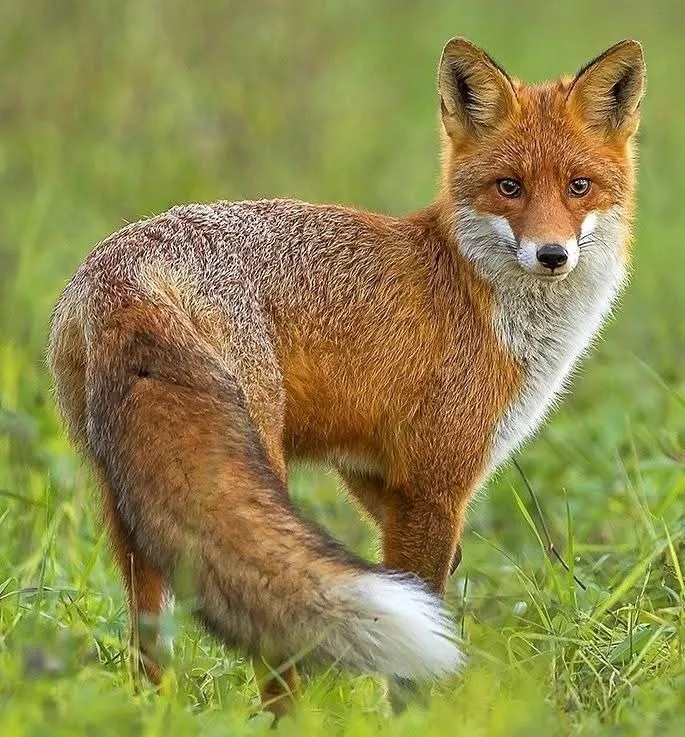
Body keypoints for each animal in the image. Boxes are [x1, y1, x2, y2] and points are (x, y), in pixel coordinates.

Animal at [47, 37, 645, 716]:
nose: (552, 255)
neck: (480, 297)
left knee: (150, 649)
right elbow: (425, 609)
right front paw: (418, 719)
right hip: (252, 464)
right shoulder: (433, 483)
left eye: (578, 187)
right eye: (509, 187)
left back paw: (157, 717)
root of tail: (127, 274)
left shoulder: (370, 472)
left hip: (129, 504)